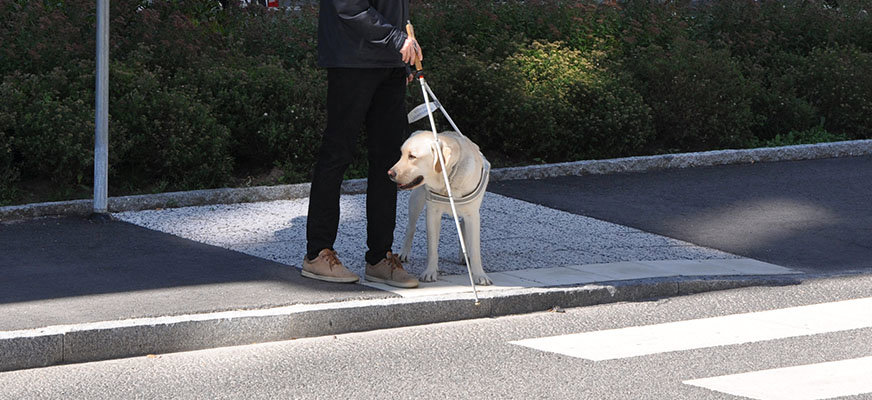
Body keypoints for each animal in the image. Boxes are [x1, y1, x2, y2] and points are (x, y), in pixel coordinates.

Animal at [388, 130, 490, 284]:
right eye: (401, 154)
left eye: (412, 156)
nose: (390, 173)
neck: (447, 180)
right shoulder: (433, 213)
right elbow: (432, 248)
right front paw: (430, 272)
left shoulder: (473, 215)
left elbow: (475, 249)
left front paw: (479, 275)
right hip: (416, 199)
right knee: (411, 227)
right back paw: (404, 253)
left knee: (462, 227)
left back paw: (464, 256)